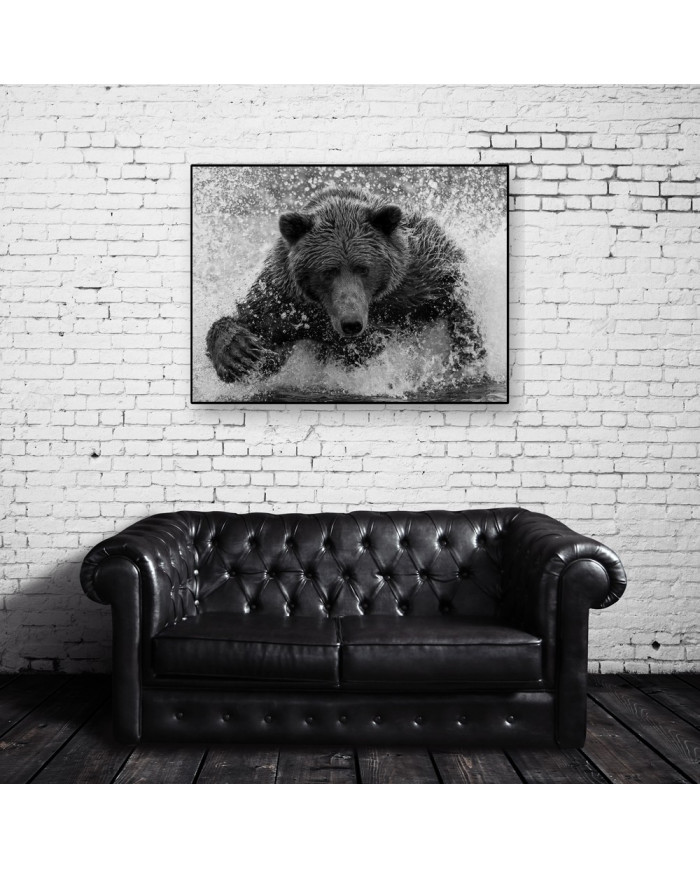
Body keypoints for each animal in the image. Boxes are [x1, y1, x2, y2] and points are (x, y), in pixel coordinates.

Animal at [206, 186, 485, 384]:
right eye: (328, 271)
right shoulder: (284, 302)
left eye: (363, 268)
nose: (351, 323)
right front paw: (240, 353)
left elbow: (452, 299)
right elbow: (253, 323)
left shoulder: (419, 278)